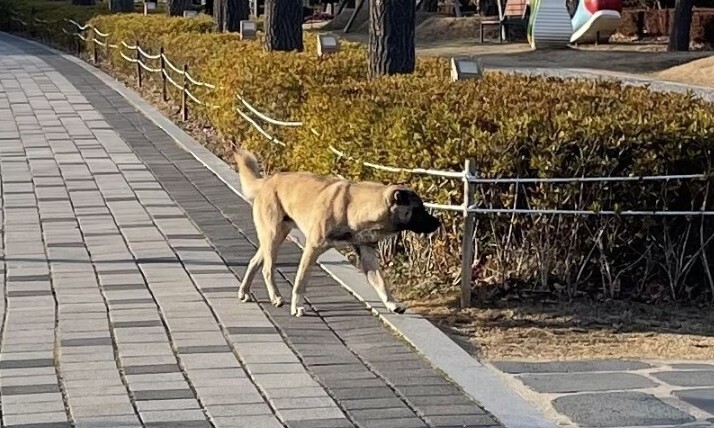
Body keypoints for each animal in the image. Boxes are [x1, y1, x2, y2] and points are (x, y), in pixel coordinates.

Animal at [234, 149, 436, 316]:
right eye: (418, 209)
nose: (438, 223)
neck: (354, 207)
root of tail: (267, 180)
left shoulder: (366, 253)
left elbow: (380, 282)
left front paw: (392, 303)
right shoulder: (312, 249)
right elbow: (301, 281)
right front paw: (297, 305)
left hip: (275, 236)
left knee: (254, 262)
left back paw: (244, 291)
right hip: (273, 236)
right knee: (267, 269)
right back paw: (275, 296)